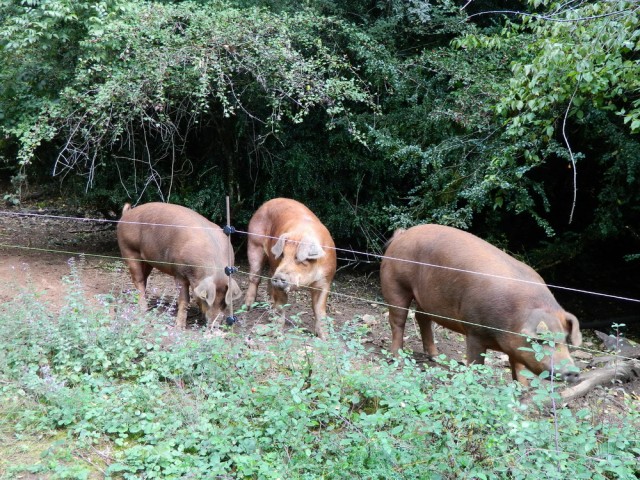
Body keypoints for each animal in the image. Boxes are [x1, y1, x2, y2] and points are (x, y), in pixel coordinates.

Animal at [117, 202, 242, 330]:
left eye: (223, 302)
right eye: (207, 299)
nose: (215, 325)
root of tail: (127, 213)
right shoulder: (179, 272)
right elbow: (184, 299)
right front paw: (180, 327)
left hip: (147, 259)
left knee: (144, 278)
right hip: (128, 249)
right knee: (138, 279)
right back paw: (144, 309)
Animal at [242, 197, 338, 340]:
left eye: (299, 258)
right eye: (282, 255)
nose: (279, 276)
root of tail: (267, 203)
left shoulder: (325, 281)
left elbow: (319, 310)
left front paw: (325, 338)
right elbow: (281, 306)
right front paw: (277, 333)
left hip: (271, 263)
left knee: (269, 276)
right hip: (254, 242)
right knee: (255, 276)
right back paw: (248, 307)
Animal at [380, 223, 584, 384]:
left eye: (566, 340)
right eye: (541, 340)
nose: (573, 372)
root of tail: (402, 235)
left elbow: (517, 365)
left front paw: (522, 388)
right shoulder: (474, 332)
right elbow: (476, 362)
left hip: (426, 297)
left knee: (422, 317)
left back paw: (436, 357)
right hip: (395, 283)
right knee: (398, 320)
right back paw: (398, 357)